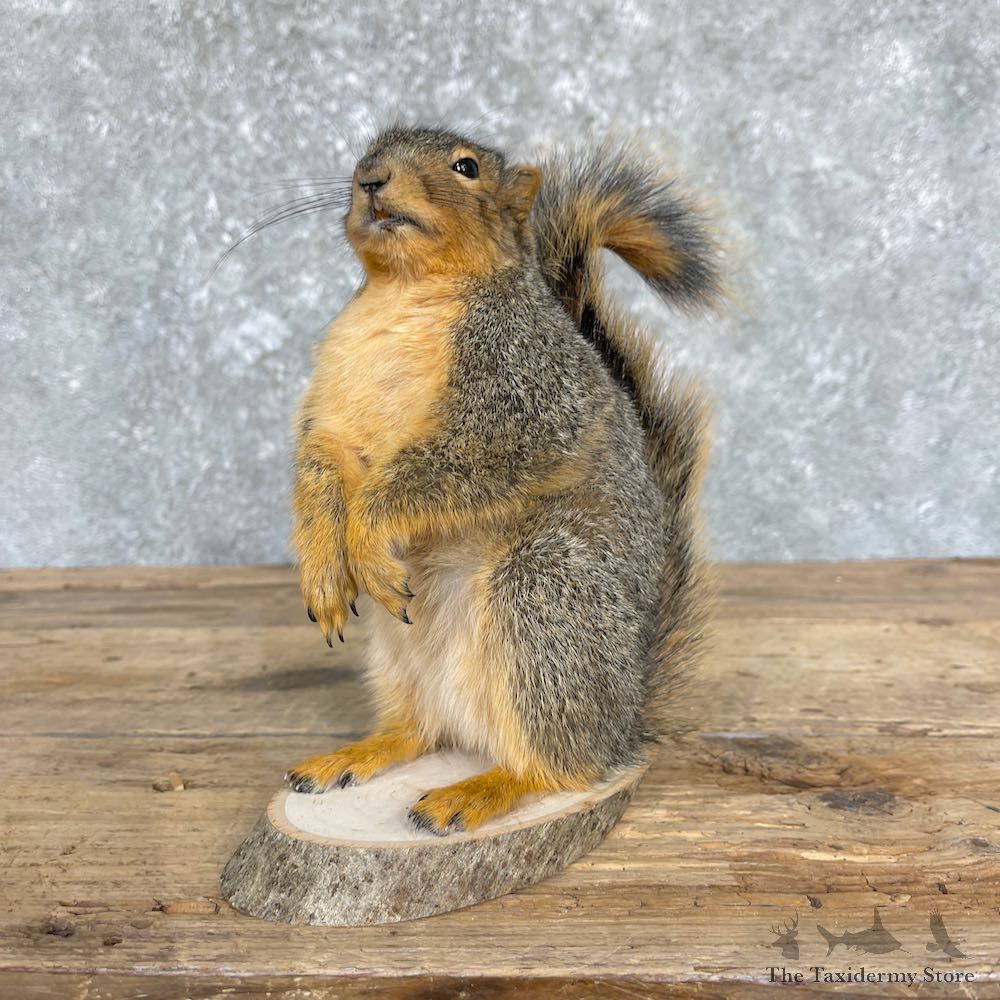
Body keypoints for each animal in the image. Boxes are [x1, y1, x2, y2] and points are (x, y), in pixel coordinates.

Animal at [284, 125, 720, 835]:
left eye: (466, 168)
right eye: (364, 154)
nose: (371, 178)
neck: (404, 292)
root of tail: (626, 714)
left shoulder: (523, 394)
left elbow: (447, 469)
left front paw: (368, 538)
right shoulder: (333, 408)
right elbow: (318, 465)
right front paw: (324, 573)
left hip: (546, 597)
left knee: (562, 766)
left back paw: (478, 791)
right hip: (397, 655)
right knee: (421, 731)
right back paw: (353, 755)